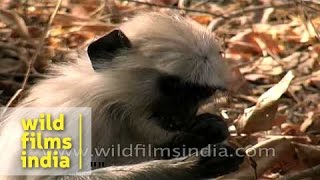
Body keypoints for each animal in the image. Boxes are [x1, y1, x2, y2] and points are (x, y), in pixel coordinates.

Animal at [0, 11, 242, 179]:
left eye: (200, 94)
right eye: (172, 86)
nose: (183, 116)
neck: (114, 108)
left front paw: (205, 130)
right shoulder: (73, 116)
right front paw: (190, 165)